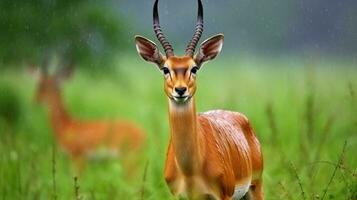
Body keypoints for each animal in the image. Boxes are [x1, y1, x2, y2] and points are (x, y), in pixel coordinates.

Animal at [135, 0, 262, 200]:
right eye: (165, 69)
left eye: (194, 68)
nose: (180, 90)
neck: (190, 169)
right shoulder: (178, 196)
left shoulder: (223, 196)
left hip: (255, 188)